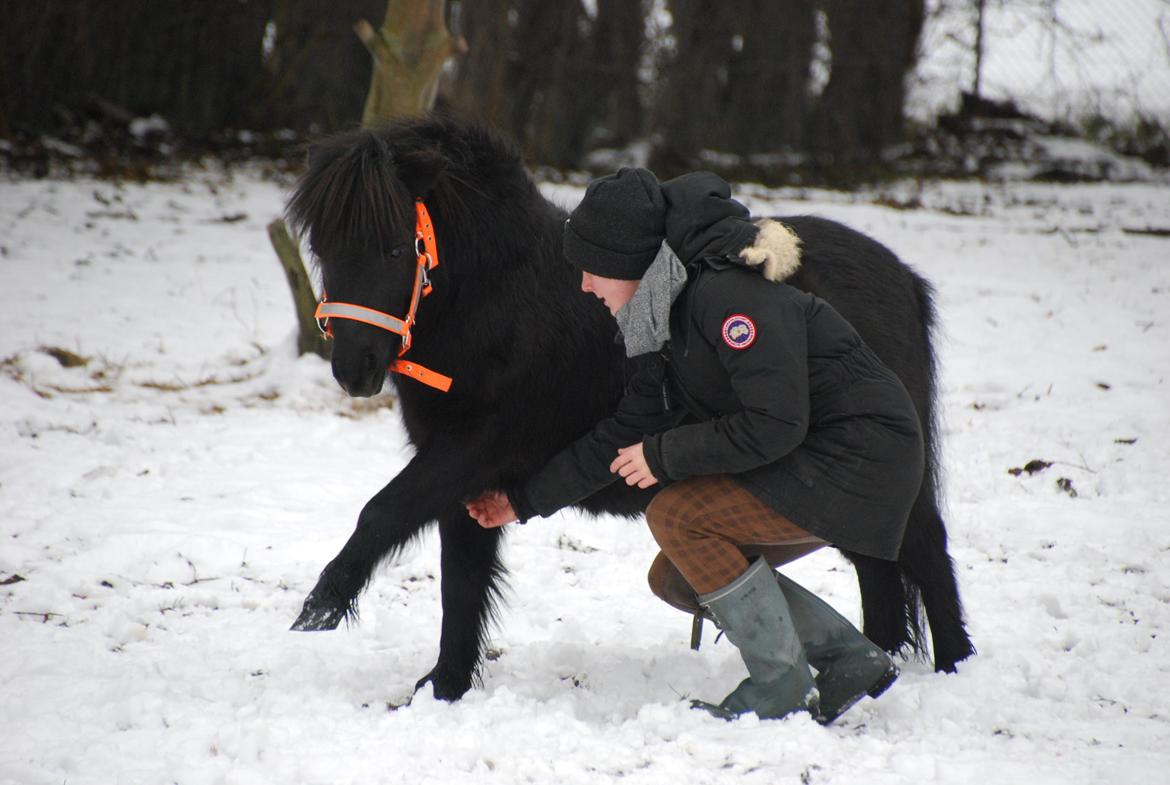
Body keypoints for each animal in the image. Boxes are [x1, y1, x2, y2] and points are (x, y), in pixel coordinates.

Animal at [287, 116, 973, 701]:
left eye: (394, 248)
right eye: (321, 245)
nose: (353, 368)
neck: (504, 302)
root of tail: (902, 277)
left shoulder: (471, 451)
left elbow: (382, 513)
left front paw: (322, 605)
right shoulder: (464, 476)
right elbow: (461, 579)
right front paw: (446, 687)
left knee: (925, 549)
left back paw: (953, 669)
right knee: (879, 567)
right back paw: (876, 661)